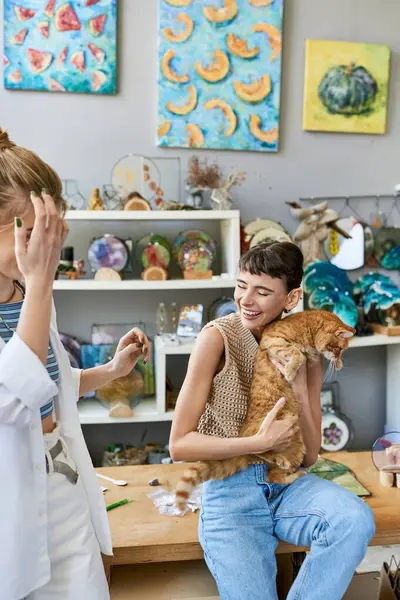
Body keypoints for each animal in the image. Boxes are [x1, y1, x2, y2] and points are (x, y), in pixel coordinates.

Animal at [175, 310, 354, 510]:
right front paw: (291, 371)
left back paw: (294, 472)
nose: (339, 363)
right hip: (267, 434)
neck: (308, 329)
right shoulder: (274, 341)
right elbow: (297, 354)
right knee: (258, 447)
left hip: (298, 447)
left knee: (273, 475)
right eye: (340, 349)